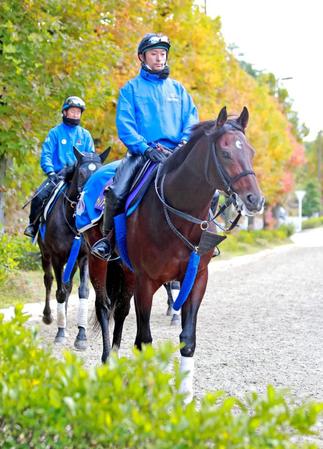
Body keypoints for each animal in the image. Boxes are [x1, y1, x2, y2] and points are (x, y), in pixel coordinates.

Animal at [38, 145, 110, 348]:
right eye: (82, 172)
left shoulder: (84, 257)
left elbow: (82, 291)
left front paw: (81, 335)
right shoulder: (57, 257)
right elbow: (60, 291)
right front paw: (60, 333)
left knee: (67, 285)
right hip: (45, 255)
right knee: (49, 281)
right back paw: (49, 316)